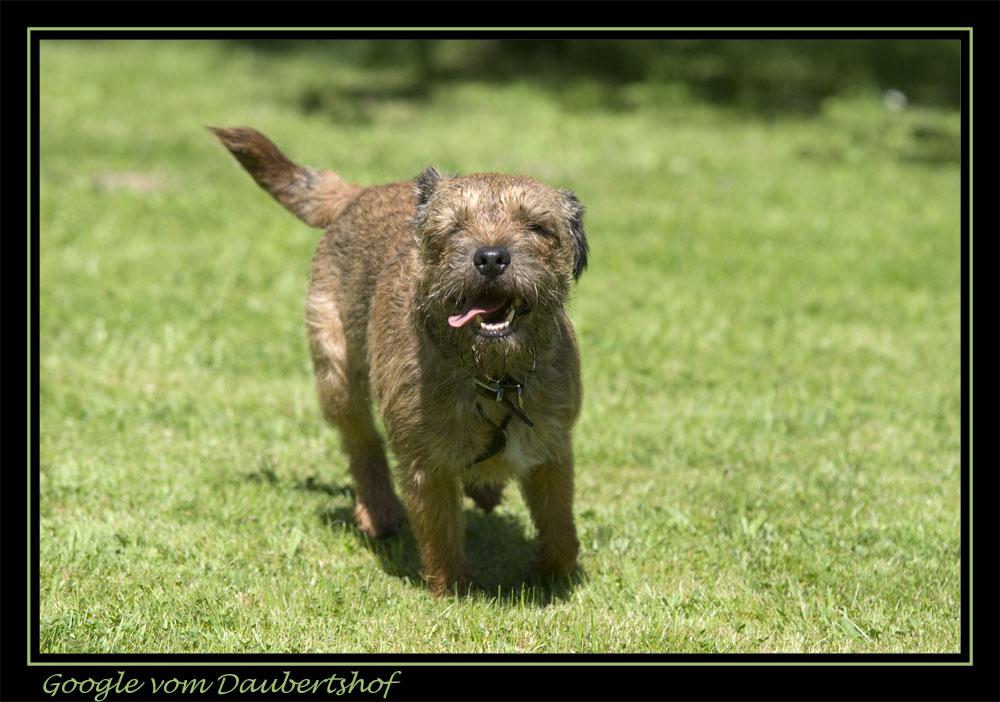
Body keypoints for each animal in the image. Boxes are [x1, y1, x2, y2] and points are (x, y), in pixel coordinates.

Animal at [211, 128, 584, 600]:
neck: (493, 377)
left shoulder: (553, 448)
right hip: (337, 373)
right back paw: (380, 509)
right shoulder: (425, 463)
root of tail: (360, 191)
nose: (491, 257)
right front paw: (454, 590)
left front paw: (551, 572)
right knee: (362, 442)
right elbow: (440, 531)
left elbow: (560, 525)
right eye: (454, 228)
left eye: (538, 228)